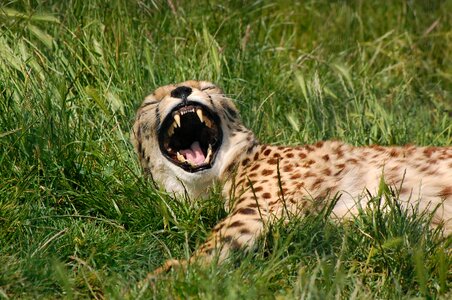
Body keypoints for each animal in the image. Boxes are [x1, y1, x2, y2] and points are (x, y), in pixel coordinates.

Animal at [131, 81, 452, 276]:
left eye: (207, 86)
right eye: (150, 103)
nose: (182, 90)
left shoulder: (257, 209)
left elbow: (219, 240)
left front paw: (172, 272)